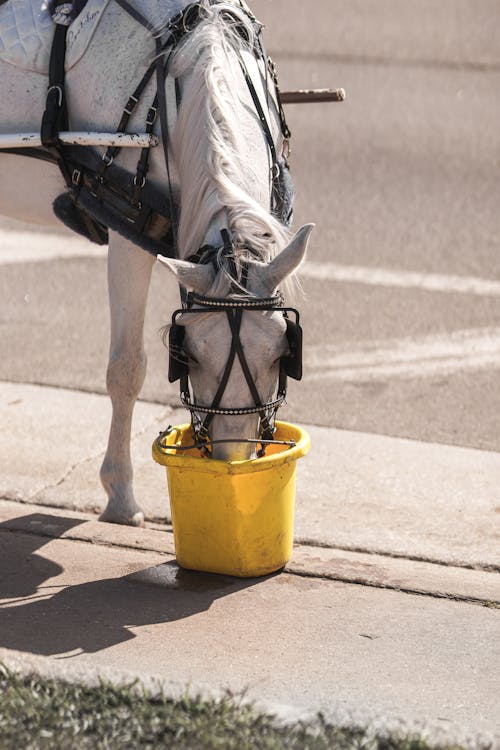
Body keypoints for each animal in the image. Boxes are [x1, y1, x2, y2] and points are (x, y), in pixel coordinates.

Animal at [0, 0, 312, 528]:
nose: (232, 460)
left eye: (280, 353)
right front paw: (120, 496)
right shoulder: (130, 233)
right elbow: (127, 368)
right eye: (191, 355)